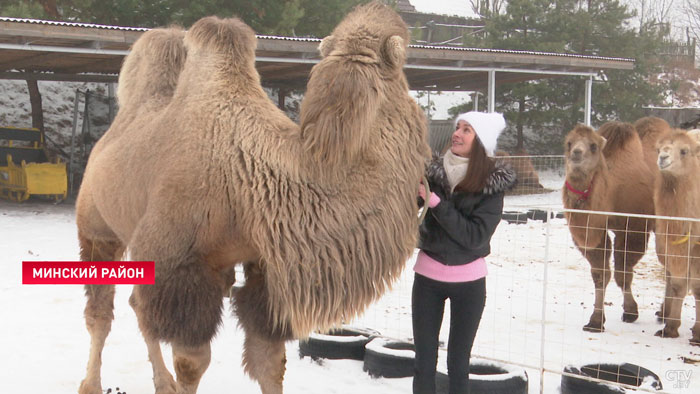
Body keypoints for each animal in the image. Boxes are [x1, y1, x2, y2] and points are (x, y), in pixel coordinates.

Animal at [564, 123, 656, 332]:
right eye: (569, 143)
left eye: (593, 146)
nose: (576, 153)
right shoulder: (596, 230)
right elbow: (600, 274)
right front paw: (595, 321)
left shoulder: (634, 227)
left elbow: (622, 272)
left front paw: (630, 312)